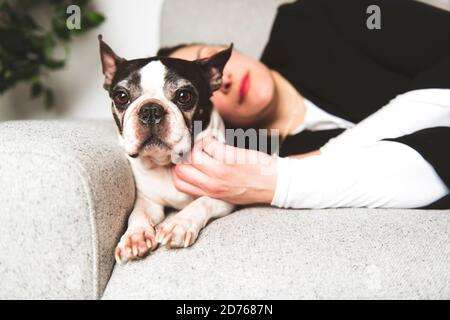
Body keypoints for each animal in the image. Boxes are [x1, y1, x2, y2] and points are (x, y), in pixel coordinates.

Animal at [99, 36, 236, 264]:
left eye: (184, 96)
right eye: (121, 96)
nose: (150, 109)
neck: (166, 164)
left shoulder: (226, 195)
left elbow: (201, 203)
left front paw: (178, 224)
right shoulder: (148, 201)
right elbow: (137, 214)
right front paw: (134, 236)